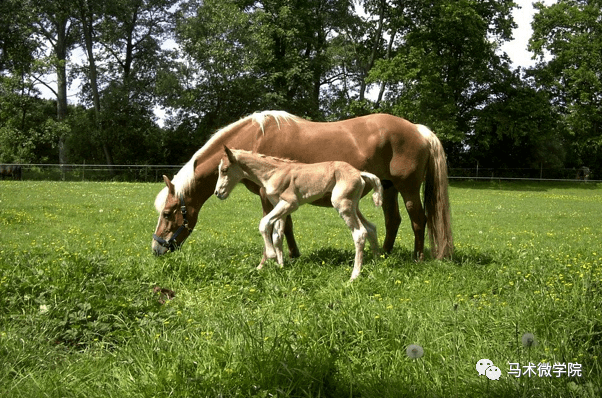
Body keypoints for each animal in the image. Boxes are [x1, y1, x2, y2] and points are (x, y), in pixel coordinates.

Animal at [152, 110, 452, 262]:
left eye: (167, 214)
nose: (157, 249)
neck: (254, 138)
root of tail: (418, 129)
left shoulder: (266, 195)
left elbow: (272, 225)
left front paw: (271, 259)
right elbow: (286, 226)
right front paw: (292, 255)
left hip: (408, 189)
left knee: (418, 219)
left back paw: (418, 257)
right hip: (388, 188)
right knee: (393, 220)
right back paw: (386, 254)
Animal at [213, 145, 380, 280]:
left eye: (224, 170)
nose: (218, 193)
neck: (273, 173)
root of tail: (359, 173)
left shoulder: (290, 204)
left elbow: (264, 223)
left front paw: (272, 255)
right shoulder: (280, 206)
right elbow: (277, 235)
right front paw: (280, 266)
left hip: (342, 204)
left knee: (360, 233)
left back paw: (354, 276)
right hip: (353, 206)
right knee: (371, 227)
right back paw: (378, 261)